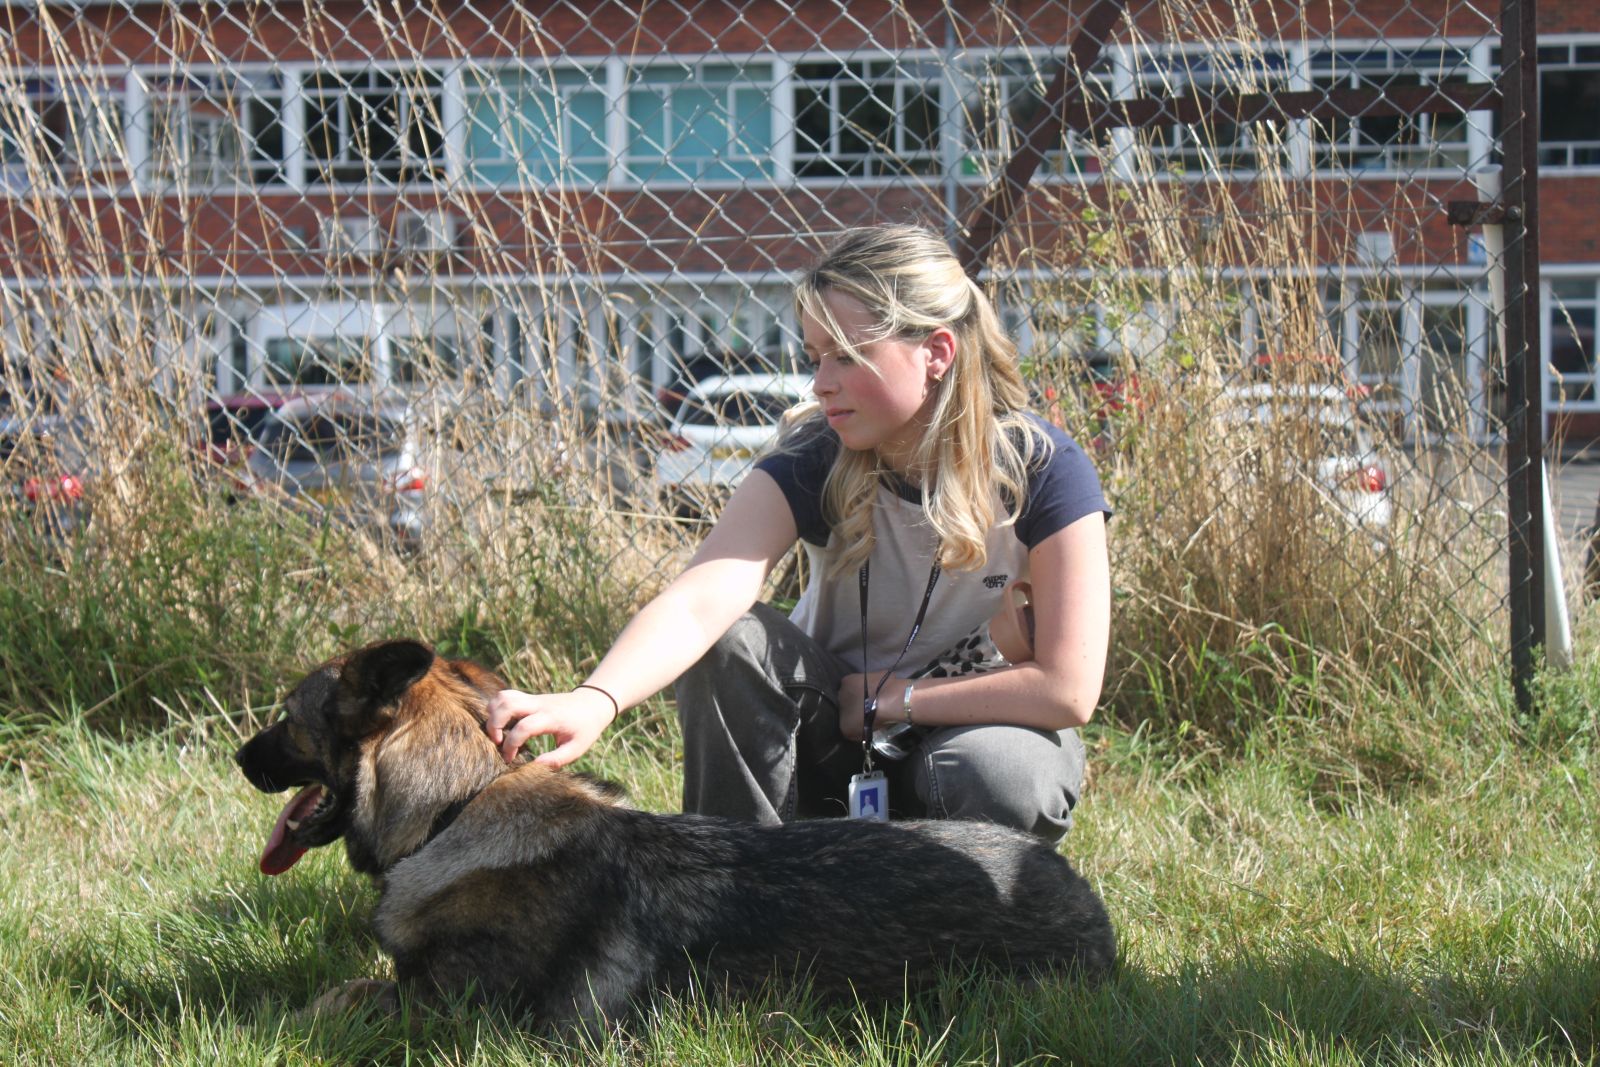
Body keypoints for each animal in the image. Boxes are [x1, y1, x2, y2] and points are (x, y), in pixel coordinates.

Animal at [236, 639, 1120, 1030]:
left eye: (287, 717)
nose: (239, 757)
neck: (460, 805)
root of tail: (1072, 883)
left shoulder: (450, 1012)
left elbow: (327, 1000)